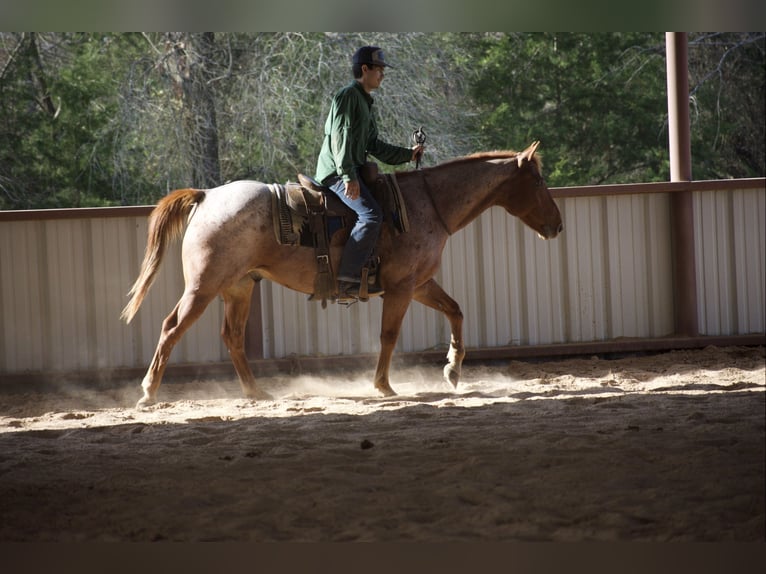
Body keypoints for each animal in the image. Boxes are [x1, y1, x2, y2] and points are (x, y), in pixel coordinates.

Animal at [121, 141, 562, 409]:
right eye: (539, 180)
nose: (558, 225)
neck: (428, 204)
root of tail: (208, 196)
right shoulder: (401, 289)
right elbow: (389, 335)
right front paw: (384, 385)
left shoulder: (419, 284)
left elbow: (455, 311)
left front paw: (452, 370)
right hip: (203, 287)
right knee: (172, 327)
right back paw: (148, 393)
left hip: (238, 288)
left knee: (232, 337)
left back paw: (256, 391)